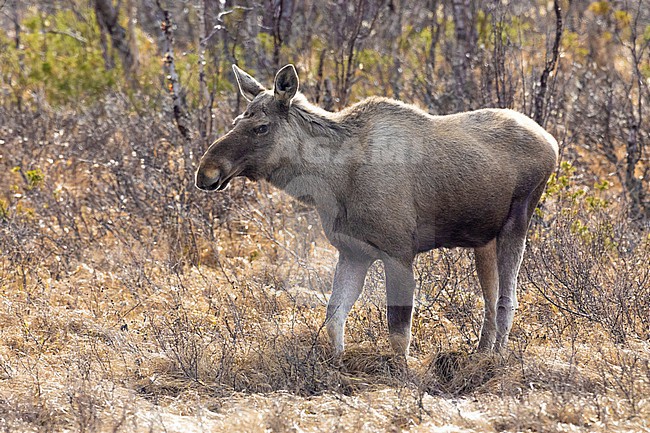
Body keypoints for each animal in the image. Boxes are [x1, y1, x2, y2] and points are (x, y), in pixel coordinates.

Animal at [195, 64, 558, 357]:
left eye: (262, 127)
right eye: (236, 121)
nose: (206, 171)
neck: (330, 182)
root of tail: (552, 142)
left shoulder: (398, 252)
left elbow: (399, 335)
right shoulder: (353, 251)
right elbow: (334, 317)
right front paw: (337, 365)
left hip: (517, 223)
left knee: (507, 300)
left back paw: (495, 361)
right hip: (483, 238)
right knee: (490, 301)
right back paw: (480, 356)